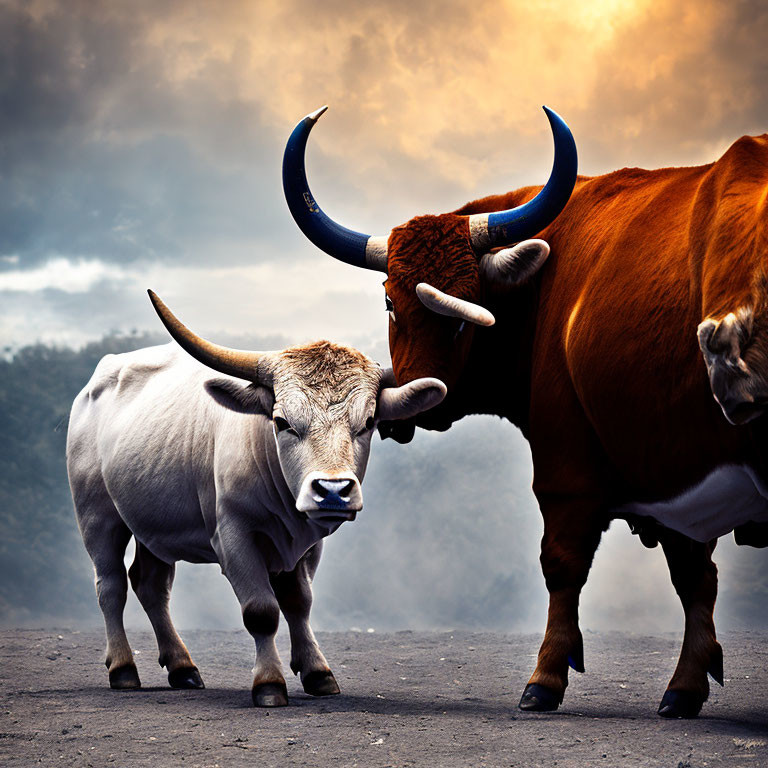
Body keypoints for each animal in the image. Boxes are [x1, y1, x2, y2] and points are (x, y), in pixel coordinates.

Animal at [70, 292, 450, 708]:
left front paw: (317, 672)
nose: (333, 491)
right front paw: (269, 684)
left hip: (153, 525)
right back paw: (123, 668)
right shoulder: (233, 537)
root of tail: (95, 384)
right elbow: (262, 610)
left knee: (151, 586)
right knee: (111, 586)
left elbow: (299, 602)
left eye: (368, 423)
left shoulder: (307, 544)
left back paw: (183, 667)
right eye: (282, 422)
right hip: (98, 516)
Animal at [282, 108, 768, 720]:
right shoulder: (677, 476)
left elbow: (563, 565)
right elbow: (695, 578)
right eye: (391, 301)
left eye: (467, 308)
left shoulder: (569, 469)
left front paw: (545, 680)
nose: (408, 407)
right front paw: (684, 689)